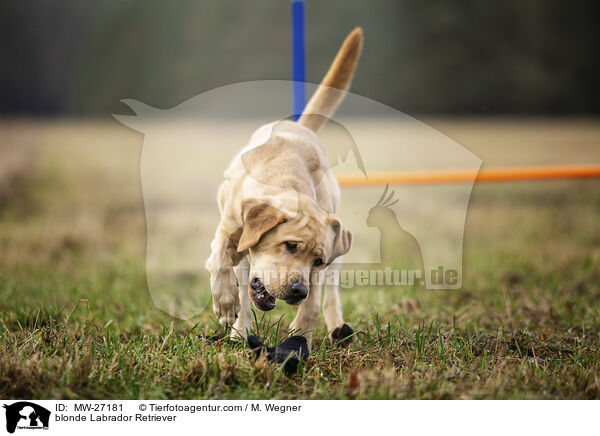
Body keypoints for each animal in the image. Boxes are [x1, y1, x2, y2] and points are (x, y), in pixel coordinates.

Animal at [206, 26, 364, 348]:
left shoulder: (321, 267)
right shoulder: (228, 229)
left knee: (331, 294)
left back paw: (338, 328)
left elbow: (313, 305)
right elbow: (219, 262)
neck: (286, 179)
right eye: (290, 245)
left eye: (317, 260)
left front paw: (301, 337)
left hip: (338, 251)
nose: (297, 291)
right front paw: (225, 304)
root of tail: (299, 126)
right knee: (243, 291)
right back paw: (239, 328)